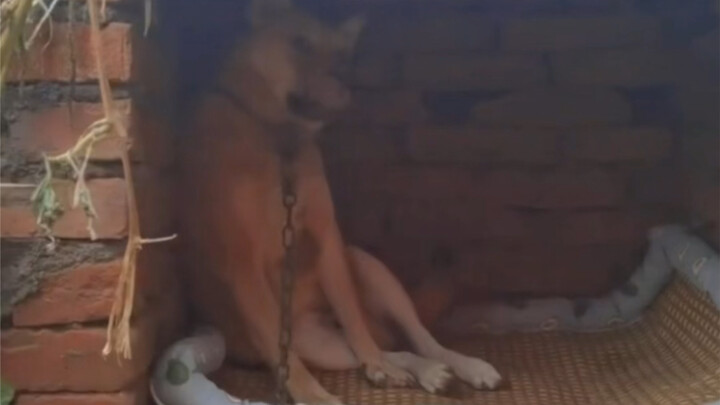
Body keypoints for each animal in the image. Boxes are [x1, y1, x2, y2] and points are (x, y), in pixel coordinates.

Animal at [179, 1, 504, 402]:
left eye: (343, 55)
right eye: (300, 42)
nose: (347, 77)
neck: (279, 138)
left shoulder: (327, 236)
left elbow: (353, 317)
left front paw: (376, 365)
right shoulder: (244, 268)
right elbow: (283, 353)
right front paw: (314, 395)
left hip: (369, 268)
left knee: (412, 339)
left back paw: (457, 366)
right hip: (316, 342)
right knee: (391, 348)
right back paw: (424, 372)